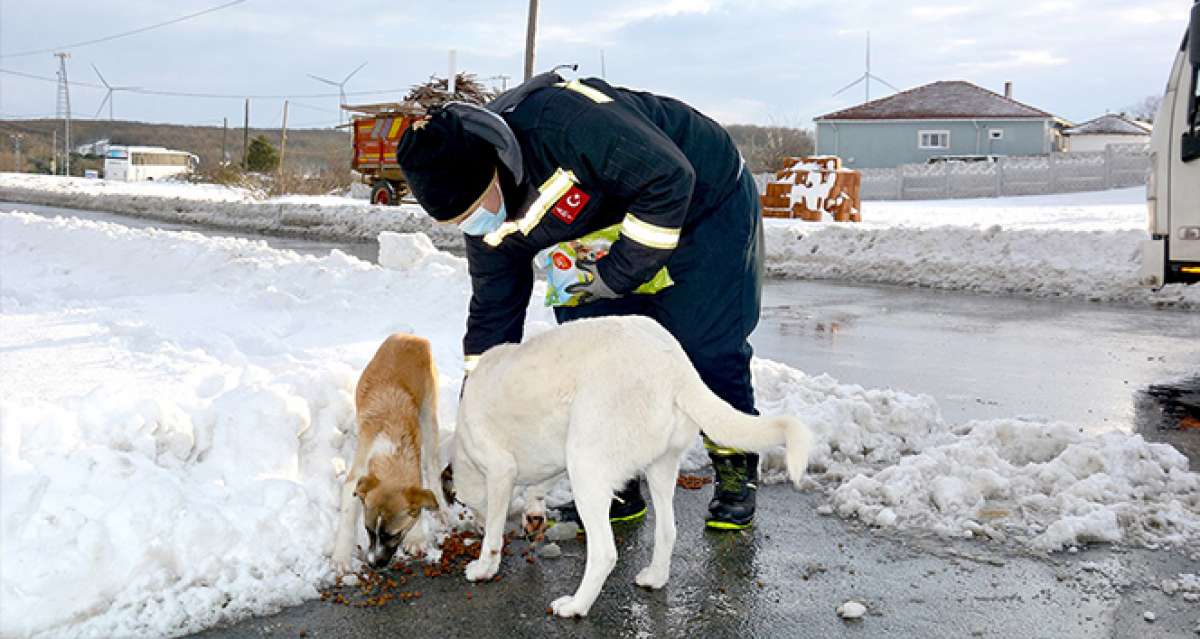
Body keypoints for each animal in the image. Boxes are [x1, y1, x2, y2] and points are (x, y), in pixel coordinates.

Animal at [331, 333, 448, 569]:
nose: (373, 564)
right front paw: (341, 557)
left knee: (433, 467)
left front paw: (417, 537)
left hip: (429, 417)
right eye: (367, 530)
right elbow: (347, 517)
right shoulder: (357, 476)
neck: (393, 452)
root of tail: (412, 336)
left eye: (393, 535)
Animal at [451, 317, 816, 614]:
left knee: (604, 553)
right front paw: (534, 513)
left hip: (586, 465)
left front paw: (484, 566)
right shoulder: (554, 456)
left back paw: (576, 606)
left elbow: (495, 529)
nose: (475, 526)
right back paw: (655, 577)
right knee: (667, 530)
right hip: (658, 468)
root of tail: (675, 368)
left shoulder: (501, 471)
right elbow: (538, 486)